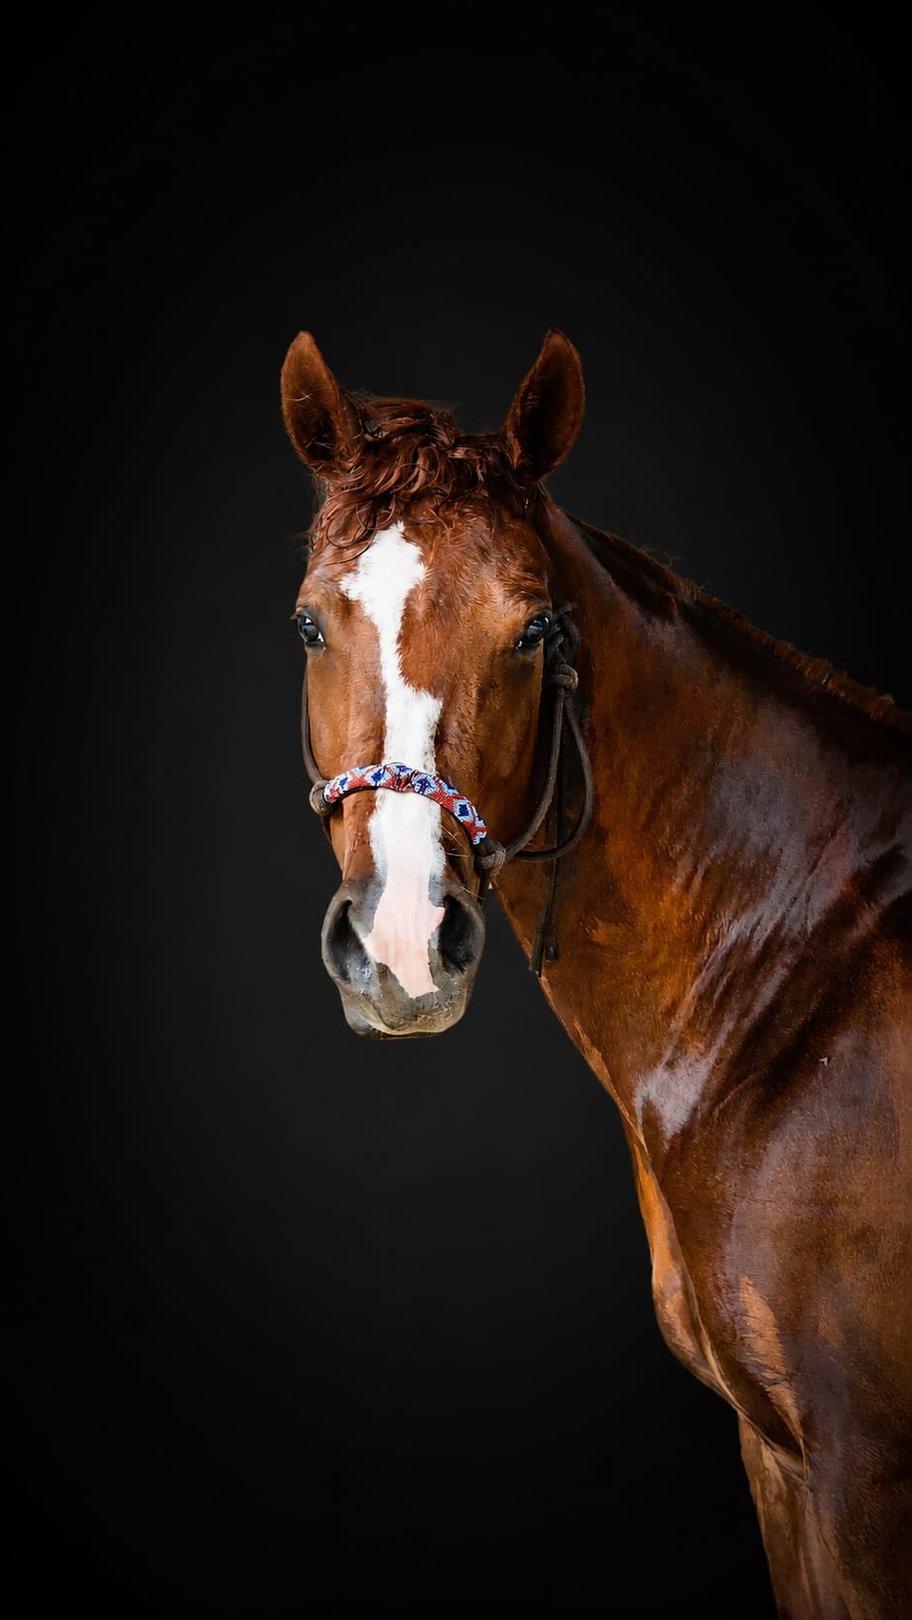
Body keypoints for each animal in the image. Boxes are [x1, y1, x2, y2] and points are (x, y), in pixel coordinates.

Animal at [279, 328, 911, 1619]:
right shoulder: (782, 1461)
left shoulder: (860, 1470)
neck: (809, 970)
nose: (404, 943)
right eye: (313, 627)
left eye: (532, 633)